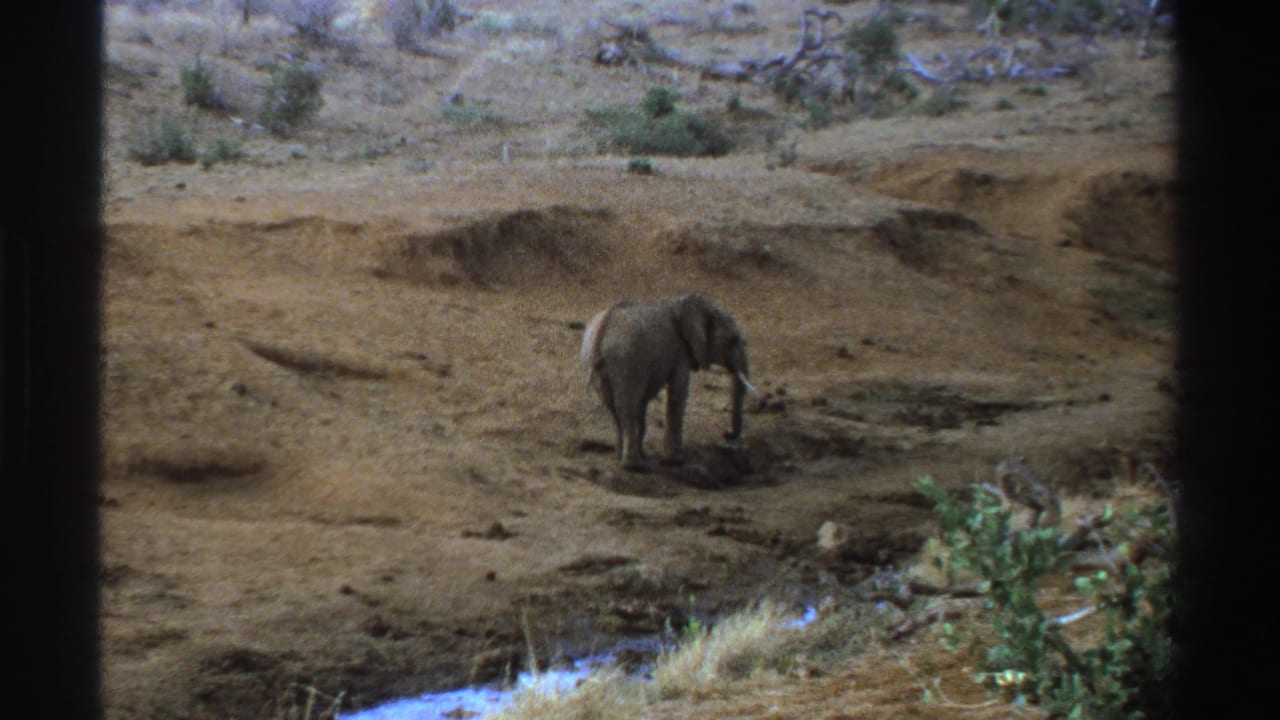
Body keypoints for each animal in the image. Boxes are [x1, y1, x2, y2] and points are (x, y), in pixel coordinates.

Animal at [580, 293, 754, 472]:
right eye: (733, 340)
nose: (726, 433)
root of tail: (601, 333)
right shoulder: (681, 352)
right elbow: (678, 394)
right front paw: (676, 461)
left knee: (616, 408)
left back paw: (623, 457)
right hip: (626, 360)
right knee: (629, 406)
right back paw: (636, 466)